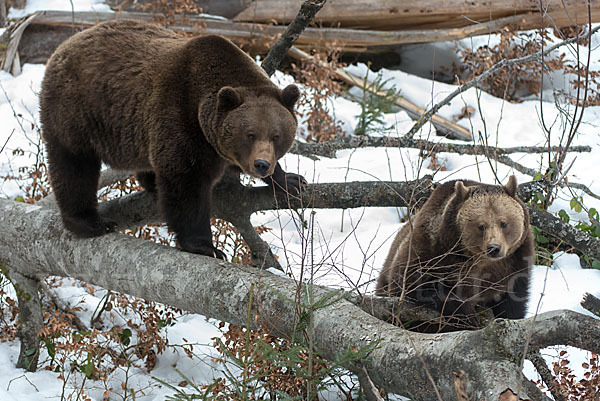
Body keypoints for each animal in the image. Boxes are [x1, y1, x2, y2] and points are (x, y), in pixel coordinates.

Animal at [41, 21, 304, 260]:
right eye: (249, 134)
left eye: (277, 136)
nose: (261, 164)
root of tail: (65, 44)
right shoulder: (181, 117)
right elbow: (185, 182)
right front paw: (205, 246)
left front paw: (290, 179)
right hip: (76, 112)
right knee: (74, 166)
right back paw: (91, 222)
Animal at [376, 177, 536, 330]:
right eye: (481, 226)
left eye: (504, 223)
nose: (494, 248)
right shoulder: (430, 251)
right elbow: (414, 284)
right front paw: (469, 316)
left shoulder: (515, 262)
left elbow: (513, 299)